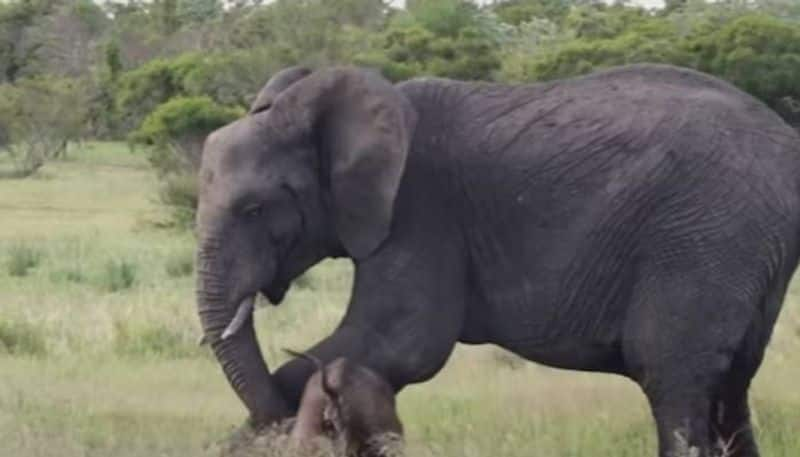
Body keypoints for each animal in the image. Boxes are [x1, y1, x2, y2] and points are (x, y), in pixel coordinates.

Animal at [197, 64, 800, 456]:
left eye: (254, 209)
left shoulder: (422, 209)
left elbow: (404, 343)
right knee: (731, 387)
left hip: (706, 236)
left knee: (672, 377)